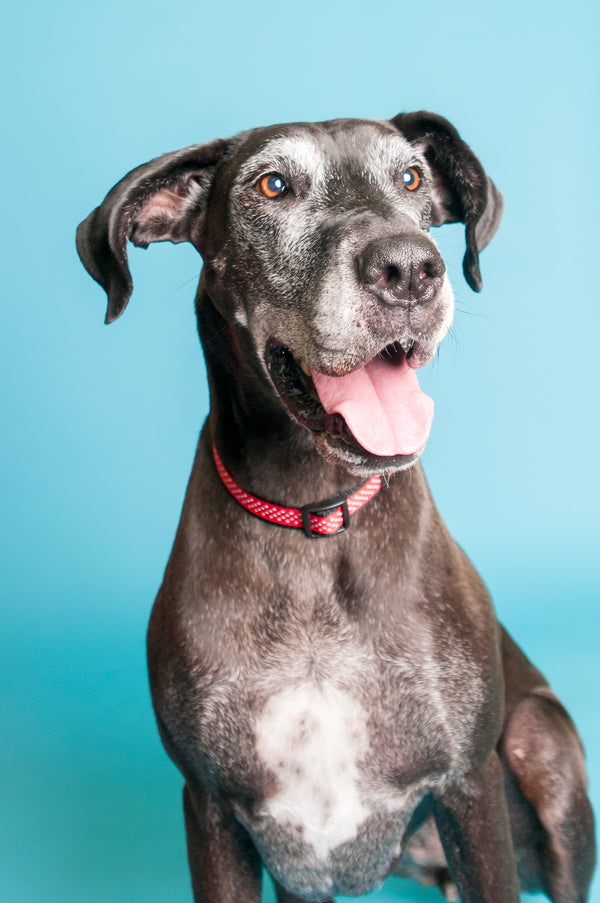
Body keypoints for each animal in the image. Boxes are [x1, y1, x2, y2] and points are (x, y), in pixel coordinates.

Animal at [76, 113, 596, 903]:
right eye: (273, 185)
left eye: (410, 177)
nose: (409, 269)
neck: (312, 520)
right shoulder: (213, 809)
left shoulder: (468, 788)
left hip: (541, 739)